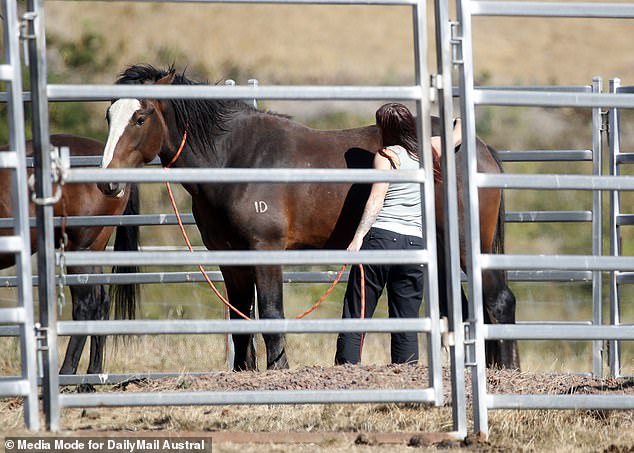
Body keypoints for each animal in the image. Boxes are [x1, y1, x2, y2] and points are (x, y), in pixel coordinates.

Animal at [0, 133, 141, 374]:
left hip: (80, 249)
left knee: (86, 305)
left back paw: (66, 372)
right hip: (94, 249)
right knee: (102, 301)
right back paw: (92, 375)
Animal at [102, 65, 520, 370]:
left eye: (140, 117)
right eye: (109, 115)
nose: (108, 183)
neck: (237, 158)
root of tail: (479, 148)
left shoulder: (265, 250)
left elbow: (271, 314)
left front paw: (279, 370)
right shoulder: (230, 257)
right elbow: (241, 320)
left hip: (466, 245)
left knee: (497, 301)